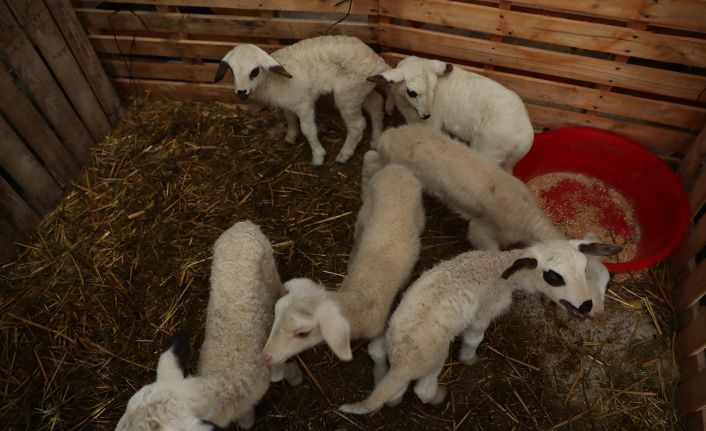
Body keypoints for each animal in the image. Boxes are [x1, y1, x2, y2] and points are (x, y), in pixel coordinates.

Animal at [115, 223, 300, 431]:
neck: (222, 384)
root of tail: (242, 225)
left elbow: (281, 372)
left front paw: (296, 378)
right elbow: (245, 420)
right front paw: (249, 420)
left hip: (268, 265)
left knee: (278, 287)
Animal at [214, 36, 390, 165]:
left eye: (255, 71)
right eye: (231, 71)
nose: (241, 93)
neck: (273, 80)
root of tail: (379, 62)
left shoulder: (303, 104)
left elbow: (309, 130)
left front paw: (318, 157)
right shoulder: (289, 103)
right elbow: (290, 119)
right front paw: (291, 137)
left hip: (348, 94)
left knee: (358, 125)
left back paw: (344, 155)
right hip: (360, 90)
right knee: (376, 103)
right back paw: (376, 139)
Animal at [260, 150, 420, 380]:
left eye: (303, 333)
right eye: (276, 311)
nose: (266, 357)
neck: (359, 299)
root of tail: (396, 169)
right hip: (365, 211)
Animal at [366, 55, 532, 172]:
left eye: (433, 89)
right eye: (411, 92)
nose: (426, 115)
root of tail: (525, 137)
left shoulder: (431, 125)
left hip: (488, 153)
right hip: (508, 162)